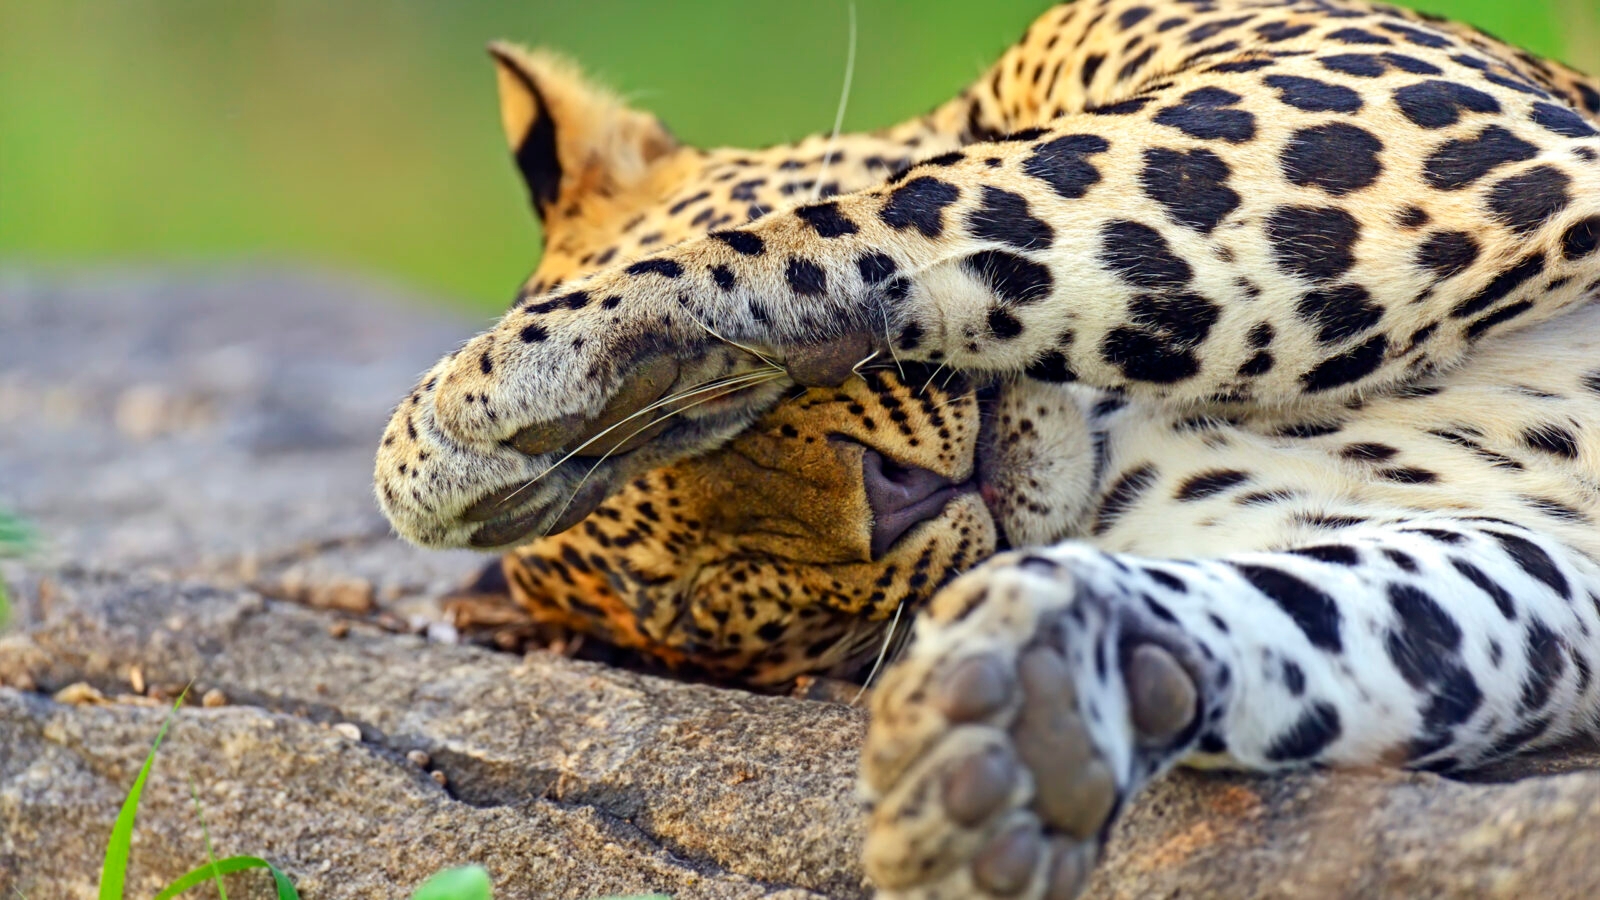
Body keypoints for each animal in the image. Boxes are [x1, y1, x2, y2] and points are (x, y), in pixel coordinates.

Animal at [374, 0, 1600, 895]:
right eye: (722, 593)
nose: (897, 497)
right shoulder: (1539, 571)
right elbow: (1343, 616)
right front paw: (1031, 712)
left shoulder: (1374, 95)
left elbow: (939, 205)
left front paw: (508, 396)